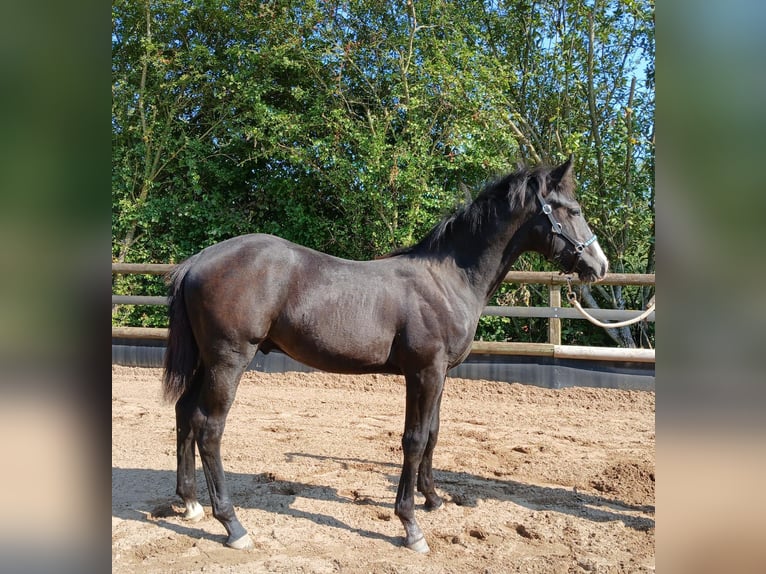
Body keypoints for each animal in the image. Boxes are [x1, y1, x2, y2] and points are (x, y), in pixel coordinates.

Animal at [164, 158, 612, 552]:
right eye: (573, 210)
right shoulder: (423, 372)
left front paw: (433, 499)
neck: (447, 279)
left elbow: (432, 433)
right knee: (209, 428)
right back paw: (233, 525)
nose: (600, 265)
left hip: (207, 362)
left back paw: (190, 503)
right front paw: (410, 526)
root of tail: (198, 260)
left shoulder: (440, 374)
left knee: (185, 413)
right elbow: (413, 440)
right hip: (228, 361)